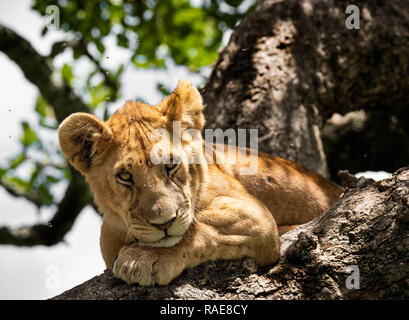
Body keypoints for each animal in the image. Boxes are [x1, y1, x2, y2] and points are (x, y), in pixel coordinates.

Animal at [57, 79, 342, 286]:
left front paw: (144, 258)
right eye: (125, 176)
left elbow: (198, 228)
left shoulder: (256, 215)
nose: (164, 223)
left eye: (171, 165)